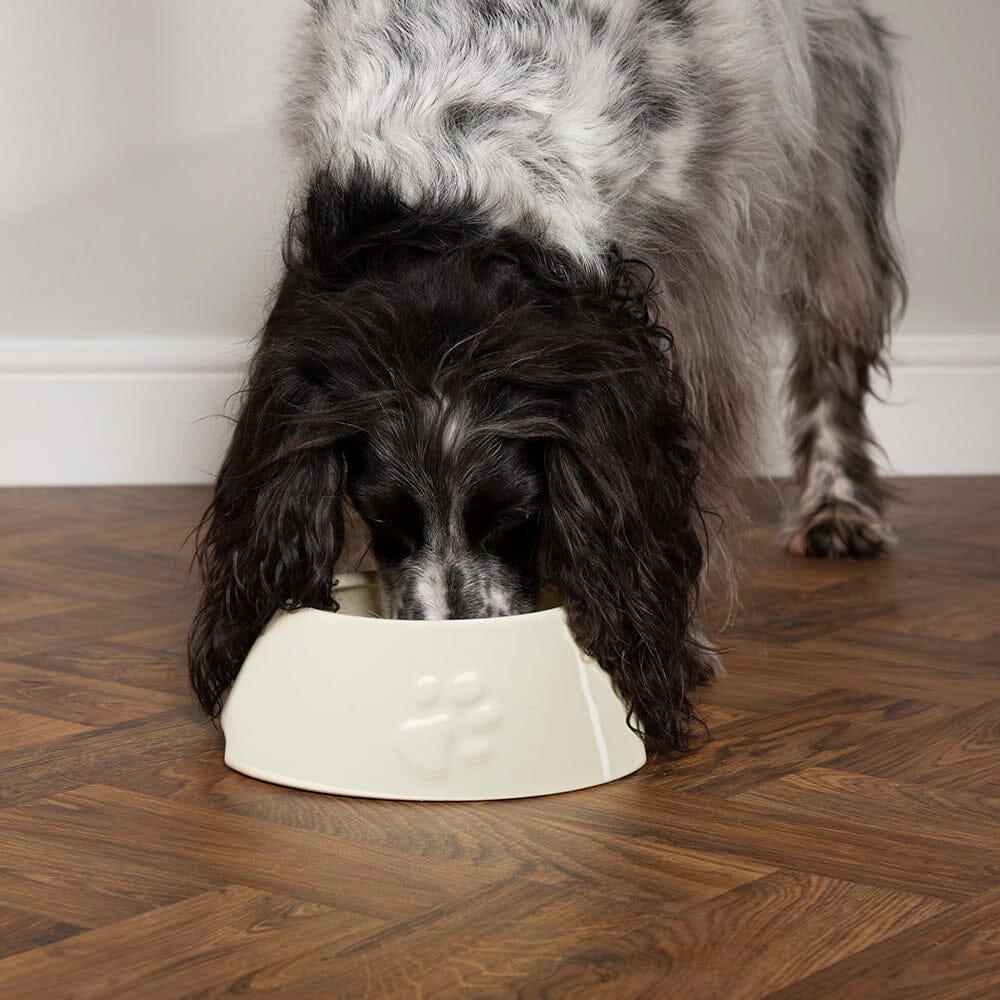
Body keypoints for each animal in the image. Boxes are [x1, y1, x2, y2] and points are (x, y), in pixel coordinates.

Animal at [188, 0, 908, 752]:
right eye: (380, 515)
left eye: (516, 517)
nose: (456, 652)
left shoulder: (693, 258)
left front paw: (678, 643)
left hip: (828, 141)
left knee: (832, 337)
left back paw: (838, 507)